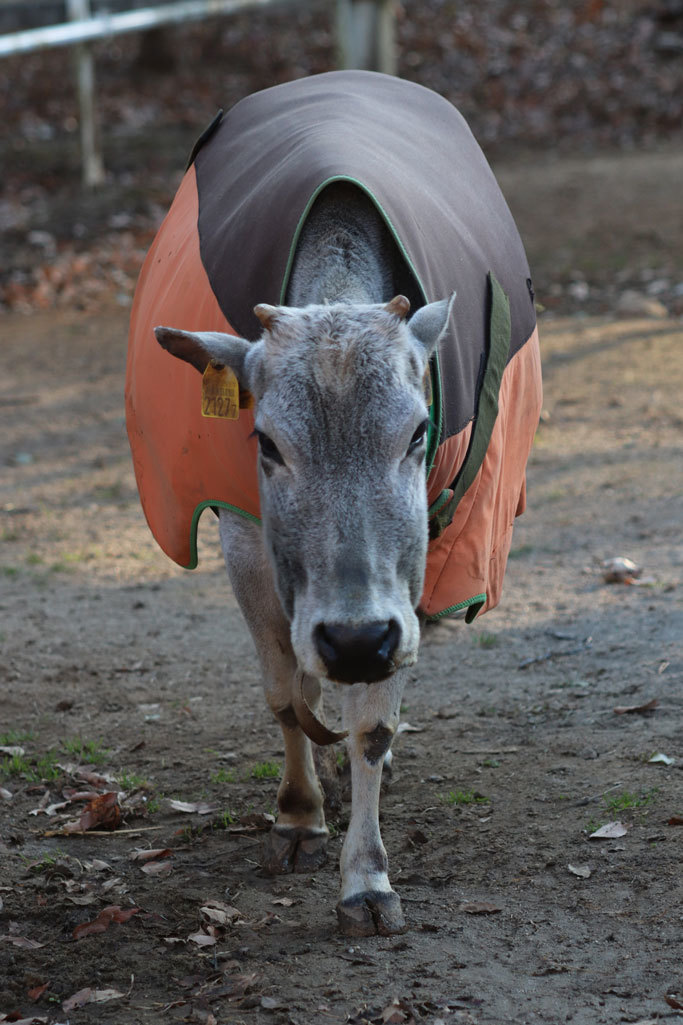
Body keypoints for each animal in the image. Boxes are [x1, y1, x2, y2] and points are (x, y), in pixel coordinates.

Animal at [126, 72, 541, 938]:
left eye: (418, 431)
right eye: (265, 440)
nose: (355, 639)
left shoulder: (417, 554)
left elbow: (373, 725)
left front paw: (367, 881)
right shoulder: (243, 534)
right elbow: (285, 691)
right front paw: (297, 816)